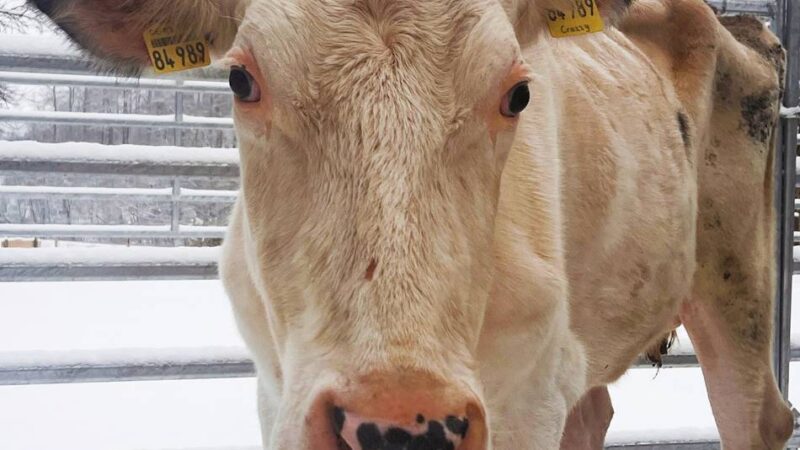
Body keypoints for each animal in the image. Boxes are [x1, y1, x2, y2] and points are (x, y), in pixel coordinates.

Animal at [30, 0, 792, 448]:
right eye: (241, 80)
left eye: (518, 92)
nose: (401, 424)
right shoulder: (278, 392)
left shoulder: (527, 397)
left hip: (738, 285)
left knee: (757, 416)